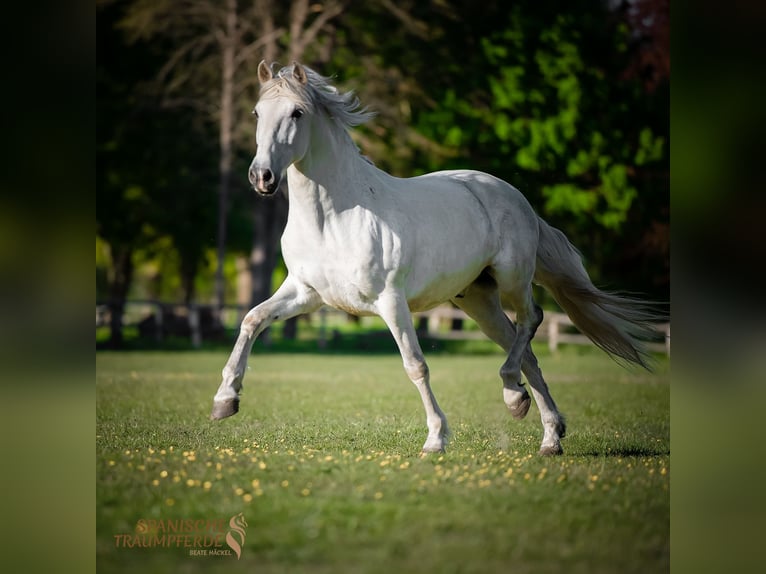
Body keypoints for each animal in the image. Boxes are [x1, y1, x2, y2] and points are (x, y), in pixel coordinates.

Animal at [210, 61, 660, 456]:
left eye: (297, 113)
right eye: (257, 112)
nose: (262, 177)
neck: (334, 218)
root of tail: (515, 196)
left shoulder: (391, 302)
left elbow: (416, 365)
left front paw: (435, 440)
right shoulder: (305, 294)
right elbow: (251, 319)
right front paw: (225, 400)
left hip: (513, 279)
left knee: (531, 321)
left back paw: (513, 397)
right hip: (478, 300)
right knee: (526, 349)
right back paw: (548, 434)